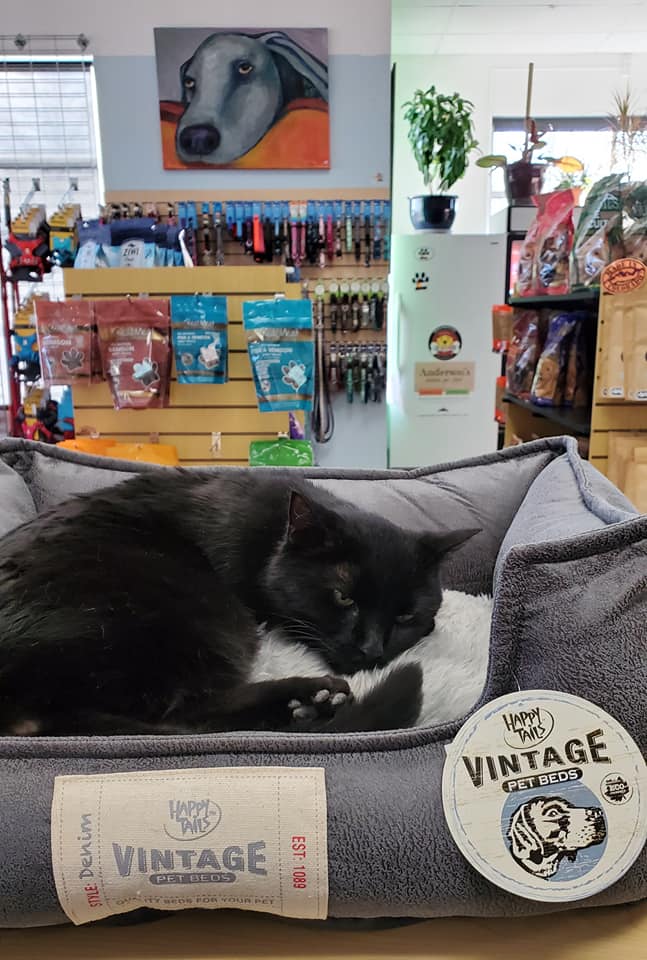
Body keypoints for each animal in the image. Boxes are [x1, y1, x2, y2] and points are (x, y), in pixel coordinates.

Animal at [0, 470, 478, 737]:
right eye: (344, 596)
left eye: (405, 615)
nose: (372, 649)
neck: (268, 536)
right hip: (200, 613)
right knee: (180, 719)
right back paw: (312, 697)